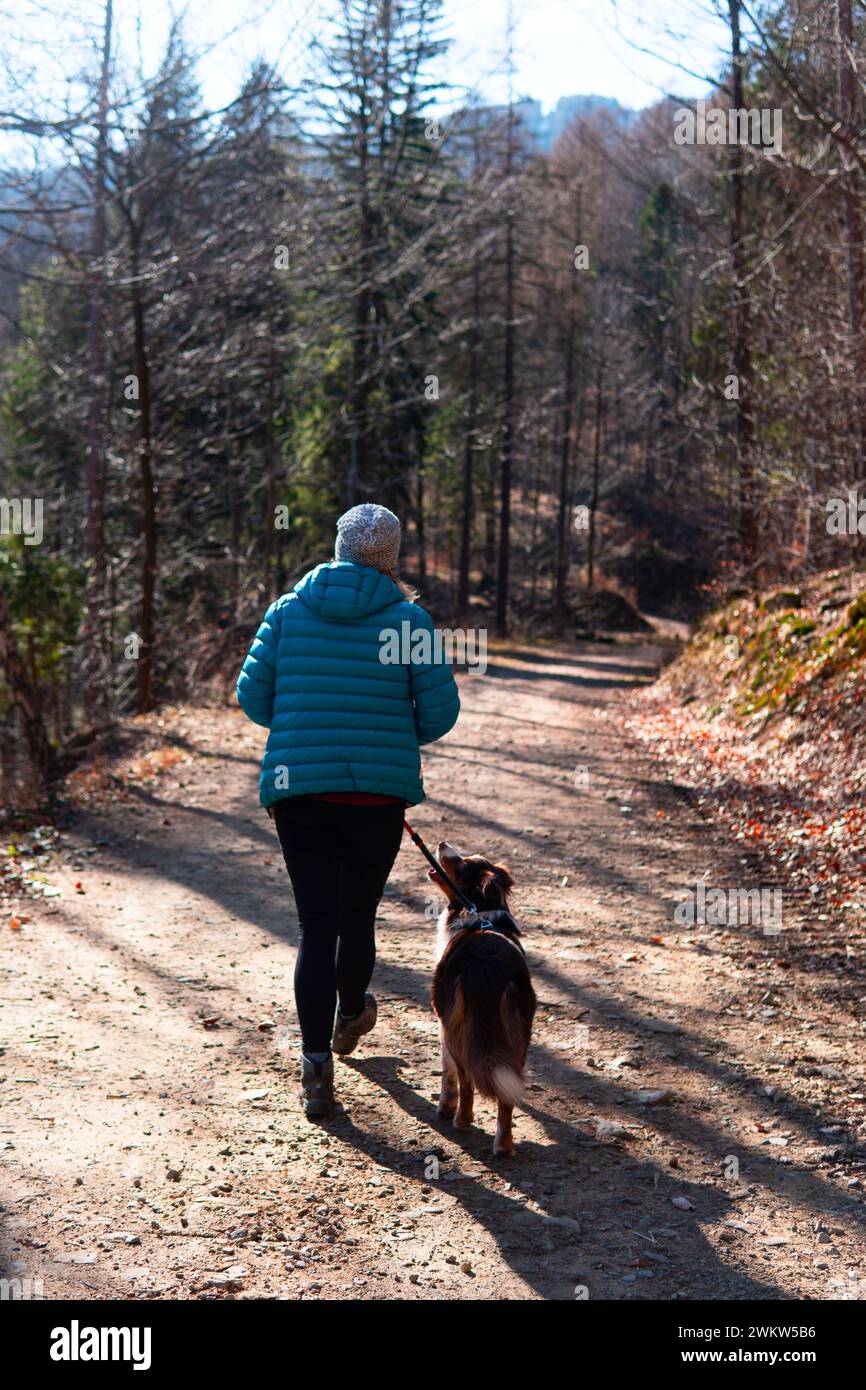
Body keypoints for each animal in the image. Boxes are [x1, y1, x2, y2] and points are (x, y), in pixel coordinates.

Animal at [428, 839, 536, 1156]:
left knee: (466, 1078)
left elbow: (448, 1073)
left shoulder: (442, 1021)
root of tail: (488, 963)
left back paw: (460, 1120)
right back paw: (504, 1145)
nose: (442, 843)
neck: (480, 911)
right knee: (507, 1093)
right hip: (519, 1032)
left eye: (461, 864)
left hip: (456, 1028)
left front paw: (444, 1106)